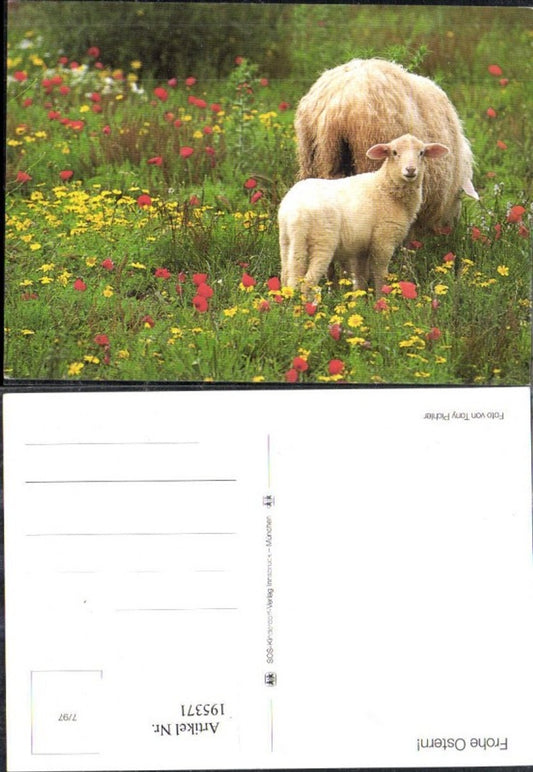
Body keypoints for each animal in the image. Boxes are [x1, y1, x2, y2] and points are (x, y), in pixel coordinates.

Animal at [279, 133, 449, 298]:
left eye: (421, 153)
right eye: (394, 152)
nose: (411, 170)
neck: (385, 187)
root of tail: (295, 212)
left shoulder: (361, 247)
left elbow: (361, 277)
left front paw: (358, 300)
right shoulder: (383, 239)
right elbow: (380, 274)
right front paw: (381, 300)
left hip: (288, 242)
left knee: (288, 278)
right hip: (322, 241)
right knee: (308, 282)